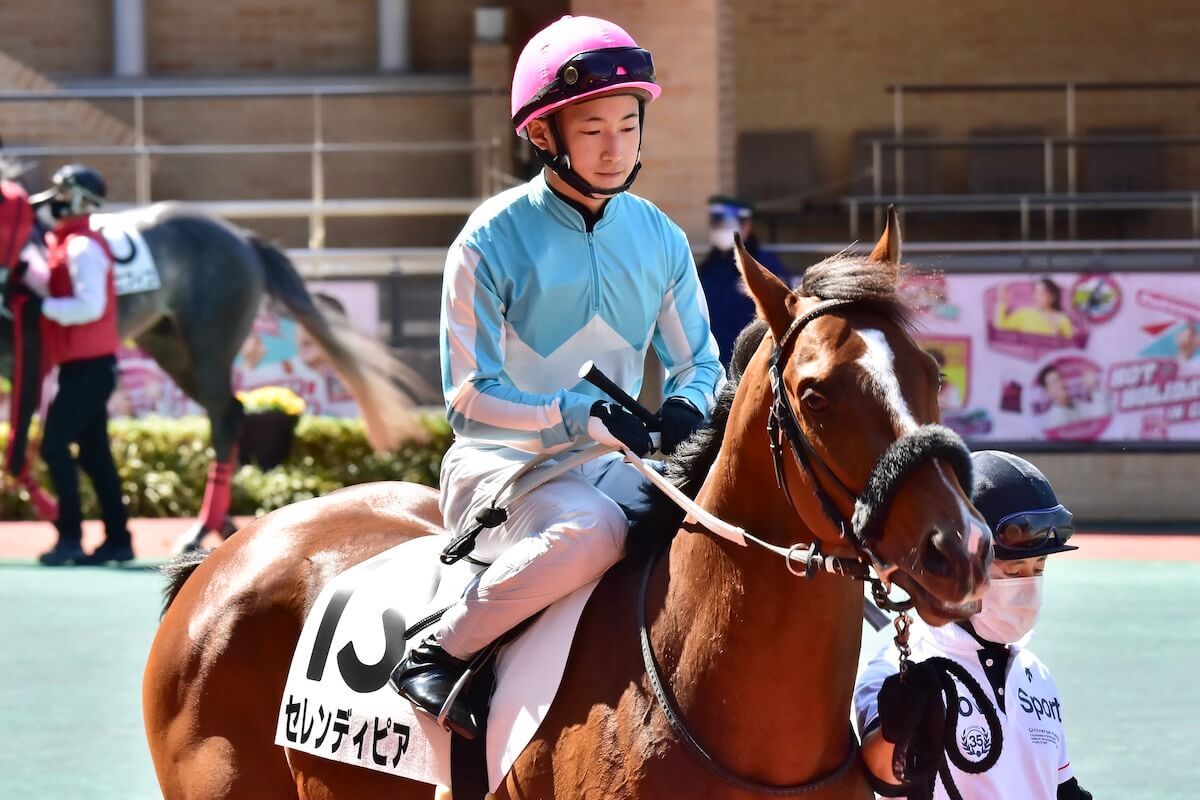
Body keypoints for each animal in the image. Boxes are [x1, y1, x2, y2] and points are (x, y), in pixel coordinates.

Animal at [0, 200, 432, 551]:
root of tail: (242, 239)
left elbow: (21, 445)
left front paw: (55, 516)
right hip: (170, 348)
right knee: (231, 415)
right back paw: (222, 524)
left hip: (208, 347)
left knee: (225, 417)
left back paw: (202, 529)